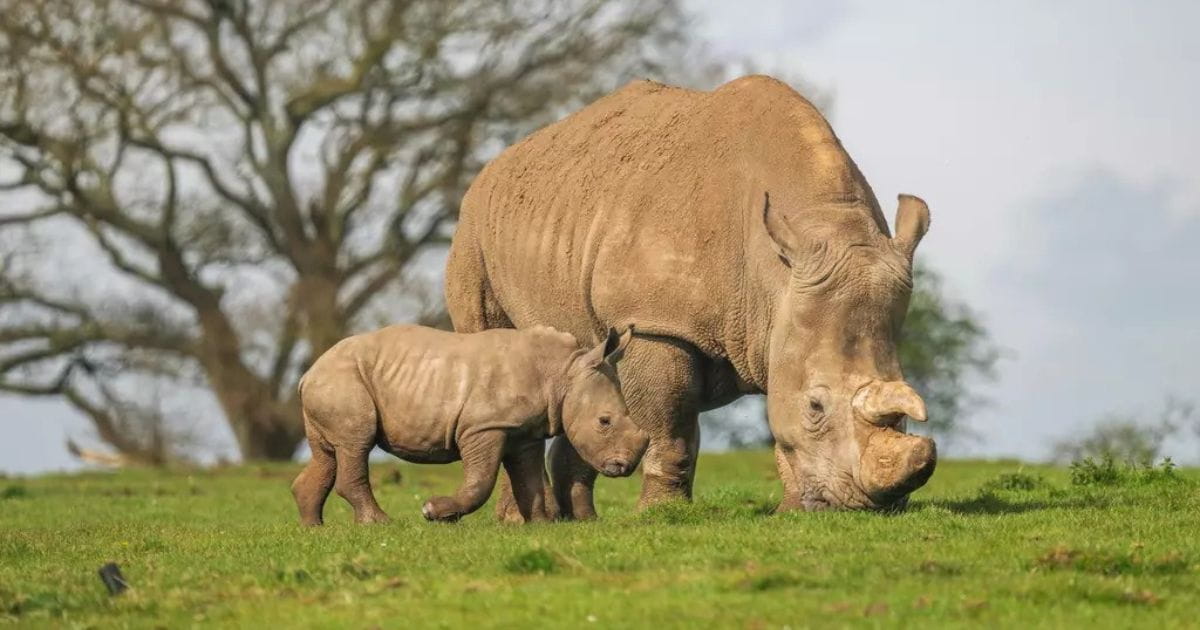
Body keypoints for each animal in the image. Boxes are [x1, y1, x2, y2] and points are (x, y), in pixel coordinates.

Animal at [291, 324, 647, 525]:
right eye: (604, 421)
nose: (624, 467)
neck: (563, 374)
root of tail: (308, 373)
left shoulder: (524, 434)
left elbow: (528, 478)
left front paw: (540, 525)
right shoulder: (484, 427)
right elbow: (481, 480)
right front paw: (434, 513)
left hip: (332, 383)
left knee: (328, 453)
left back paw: (314, 529)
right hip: (342, 381)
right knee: (357, 443)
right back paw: (379, 524)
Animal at [444, 75, 936, 518]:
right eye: (815, 405)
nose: (868, 507)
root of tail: (494, 166)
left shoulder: (776, 325)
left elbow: (780, 424)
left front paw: (793, 511)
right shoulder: (656, 322)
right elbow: (670, 427)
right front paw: (659, 514)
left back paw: (578, 520)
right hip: (472, 231)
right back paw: (521, 522)